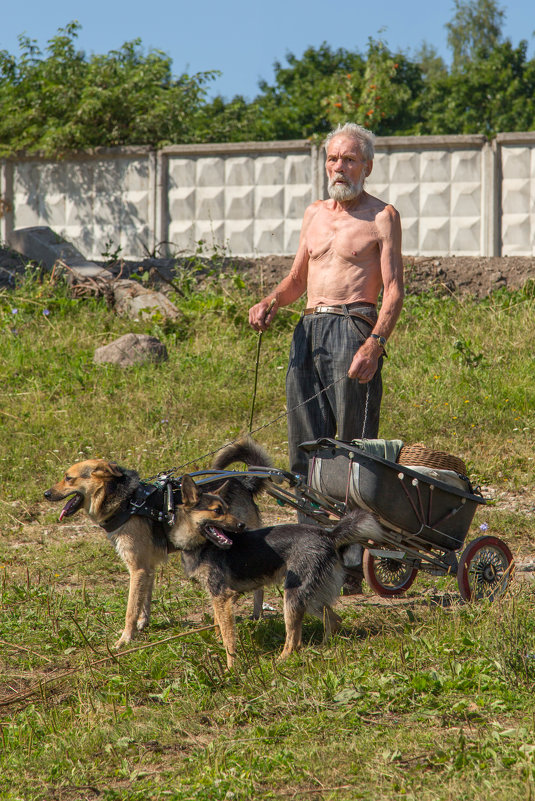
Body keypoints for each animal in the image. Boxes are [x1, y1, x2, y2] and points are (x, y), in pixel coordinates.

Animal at [44, 434, 272, 648]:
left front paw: (125, 638)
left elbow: (131, 608)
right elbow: (144, 601)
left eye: (68, 478)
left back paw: (256, 615)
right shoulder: (147, 566)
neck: (128, 501)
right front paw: (142, 625)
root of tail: (245, 484)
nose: (46, 494)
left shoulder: (137, 568)